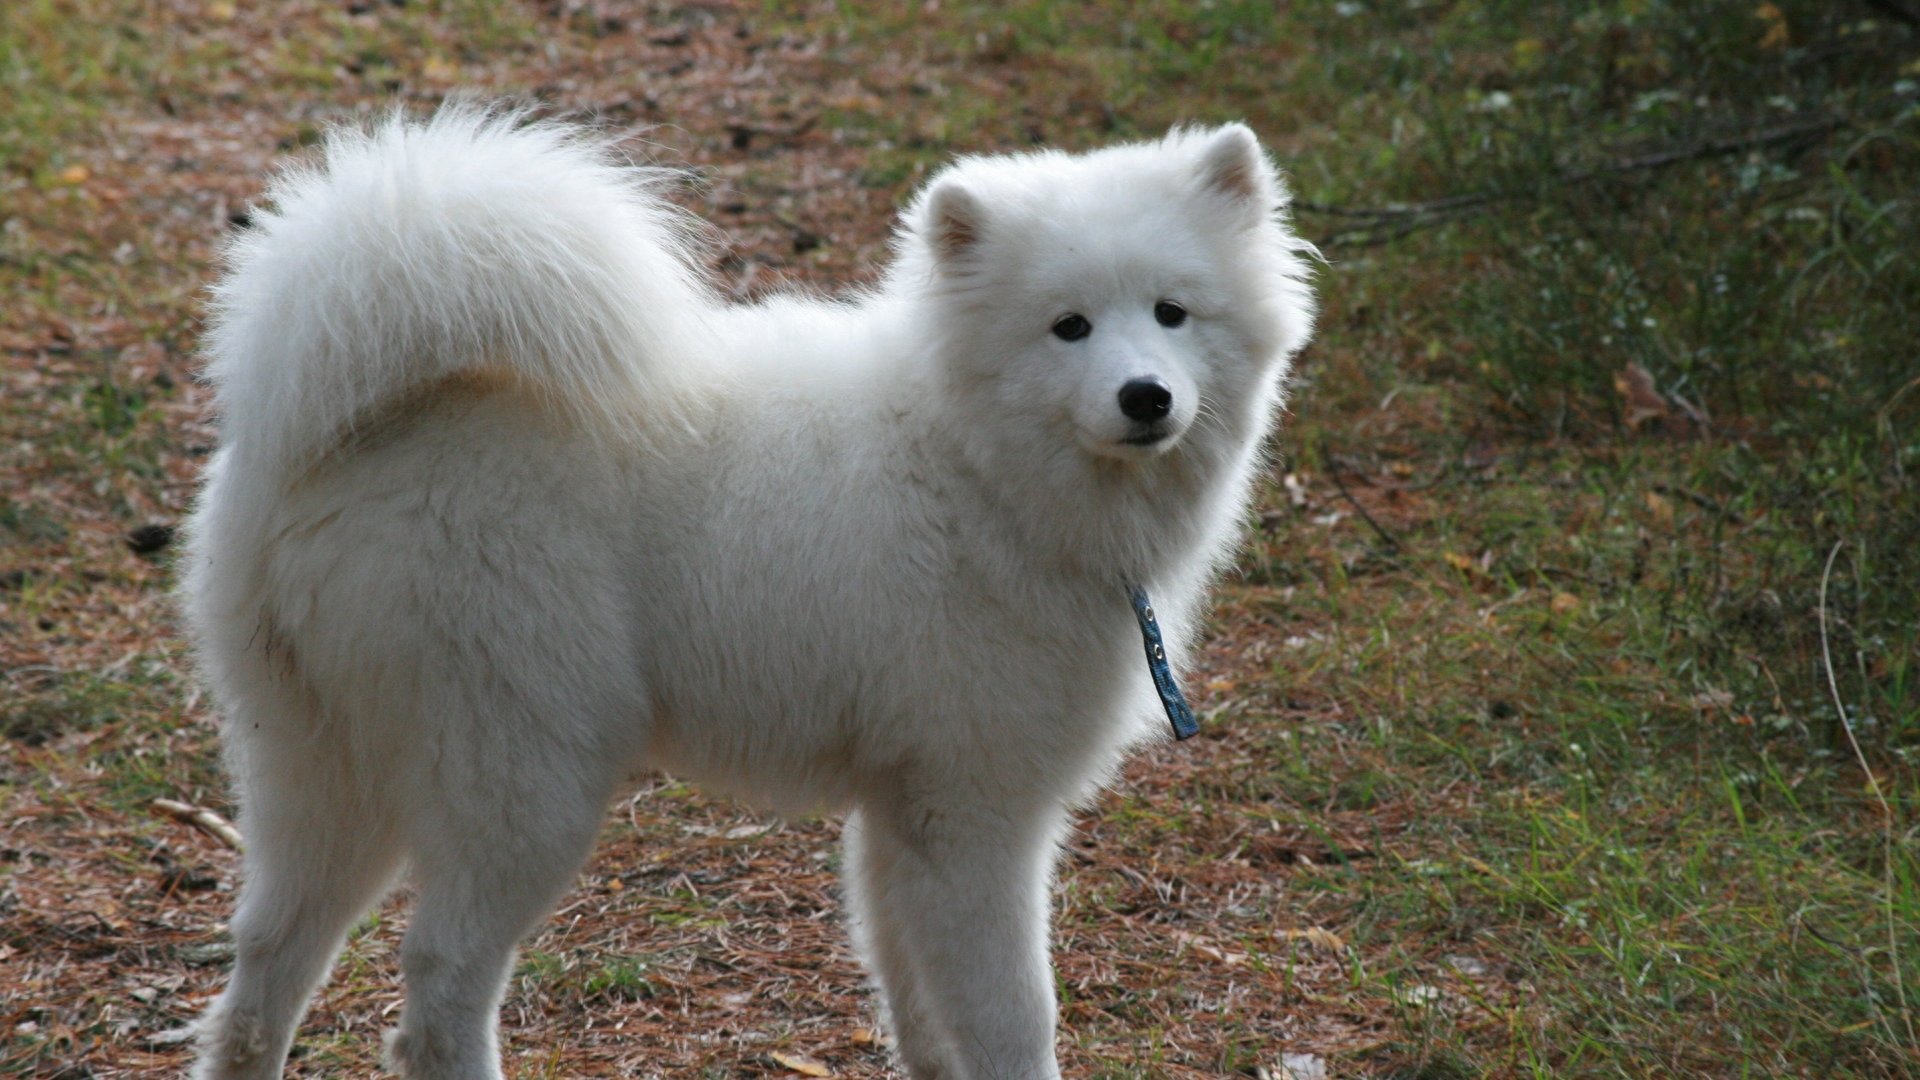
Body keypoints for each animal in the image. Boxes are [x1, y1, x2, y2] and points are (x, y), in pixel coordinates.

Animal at [180, 107, 1313, 1076]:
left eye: (1172, 312)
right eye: (1068, 327)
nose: (1147, 397)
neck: (966, 461)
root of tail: (325, 444)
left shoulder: (902, 812)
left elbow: (914, 999)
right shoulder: (979, 815)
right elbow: (1012, 1018)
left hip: (322, 774)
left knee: (264, 967)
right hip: (523, 782)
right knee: (438, 986)